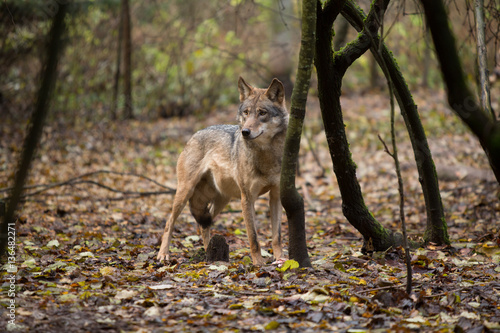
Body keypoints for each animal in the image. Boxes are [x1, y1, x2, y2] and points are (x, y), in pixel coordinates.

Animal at [156, 76, 290, 264]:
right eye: (246, 112)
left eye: (262, 113)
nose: (245, 132)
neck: (266, 155)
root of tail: (194, 134)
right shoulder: (247, 199)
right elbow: (254, 238)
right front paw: (258, 264)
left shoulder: (276, 196)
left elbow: (277, 236)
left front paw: (281, 260)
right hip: (185, 192)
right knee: (170, 222)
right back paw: (163, 254)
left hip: (222, 200)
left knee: (204, 224)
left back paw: (209, 254)